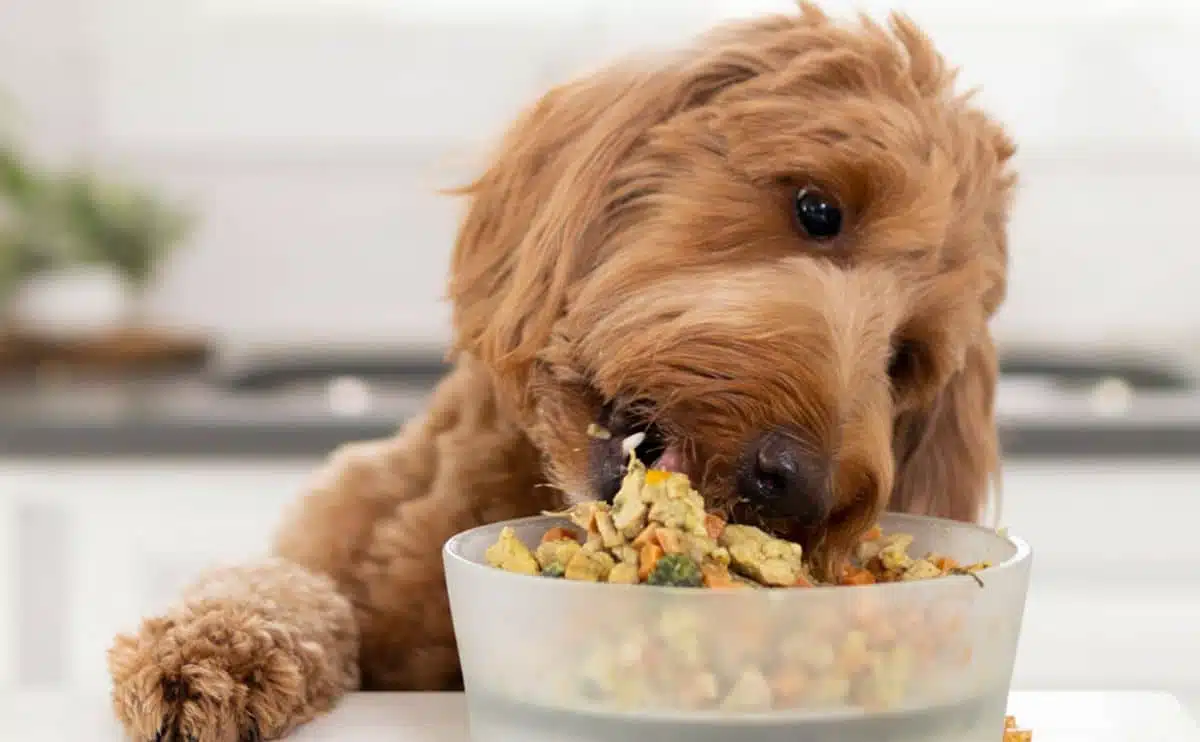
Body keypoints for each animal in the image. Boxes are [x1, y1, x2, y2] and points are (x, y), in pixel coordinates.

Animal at [110, 7, 1012, 739]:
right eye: (818, 209)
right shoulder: (327, 539)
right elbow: (275, 585)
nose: (795, 481)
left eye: (905, 359)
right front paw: (205, 655)